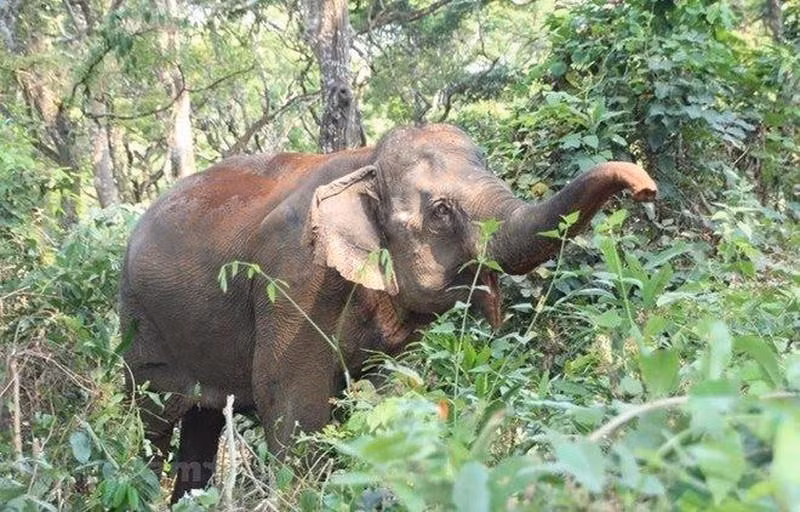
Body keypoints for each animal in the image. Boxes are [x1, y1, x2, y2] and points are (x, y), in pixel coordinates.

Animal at [120, 123, 657, 503]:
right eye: (440, 211)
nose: (646, 187)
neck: (366, 161)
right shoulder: (292, 279)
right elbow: (289, 400)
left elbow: (384, 392)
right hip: (139, 326)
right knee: (150, 424)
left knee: (201, 426)